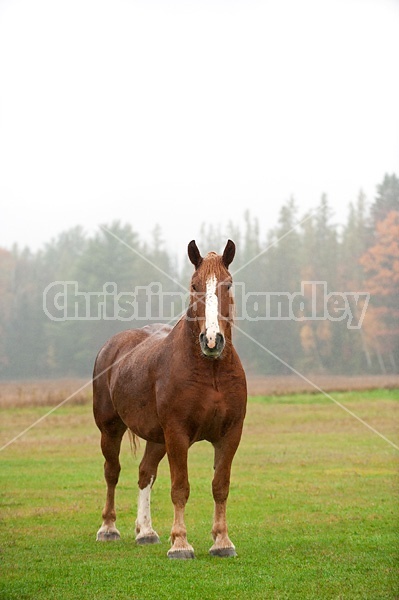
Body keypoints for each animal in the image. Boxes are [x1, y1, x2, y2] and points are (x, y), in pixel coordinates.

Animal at [93, 239, 247, 556]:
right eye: (194, 284)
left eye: (227, 284)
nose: (211, 340)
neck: (211, 371)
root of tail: (111, 346)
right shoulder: (177, 434)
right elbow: (180, 488)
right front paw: (180, 543)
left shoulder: (230, 434)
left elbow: (220, 486)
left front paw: (222, 541)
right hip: (110, 429)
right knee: (112, 472)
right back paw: (108, 528)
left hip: (157, 438)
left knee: (145, 473)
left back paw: (146, 531)